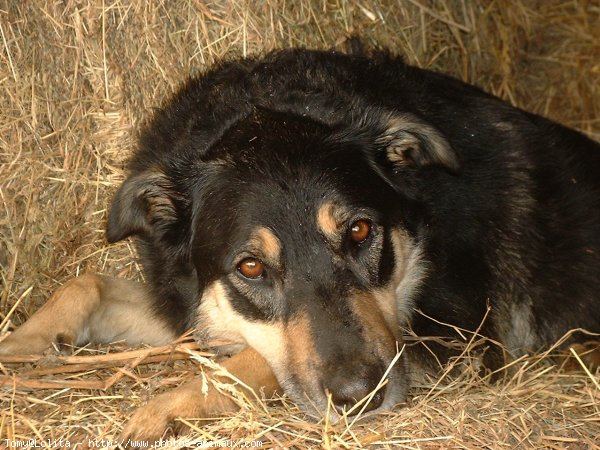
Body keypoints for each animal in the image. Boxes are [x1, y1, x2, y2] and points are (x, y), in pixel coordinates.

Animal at [1, 45, 600, 440]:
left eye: (359, 231)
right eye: (250, 268)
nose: (362, 397)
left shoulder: (459, 346)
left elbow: (252, 362)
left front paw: (163, 409)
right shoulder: (189, 308)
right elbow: (87, 282)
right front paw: (23, 343)